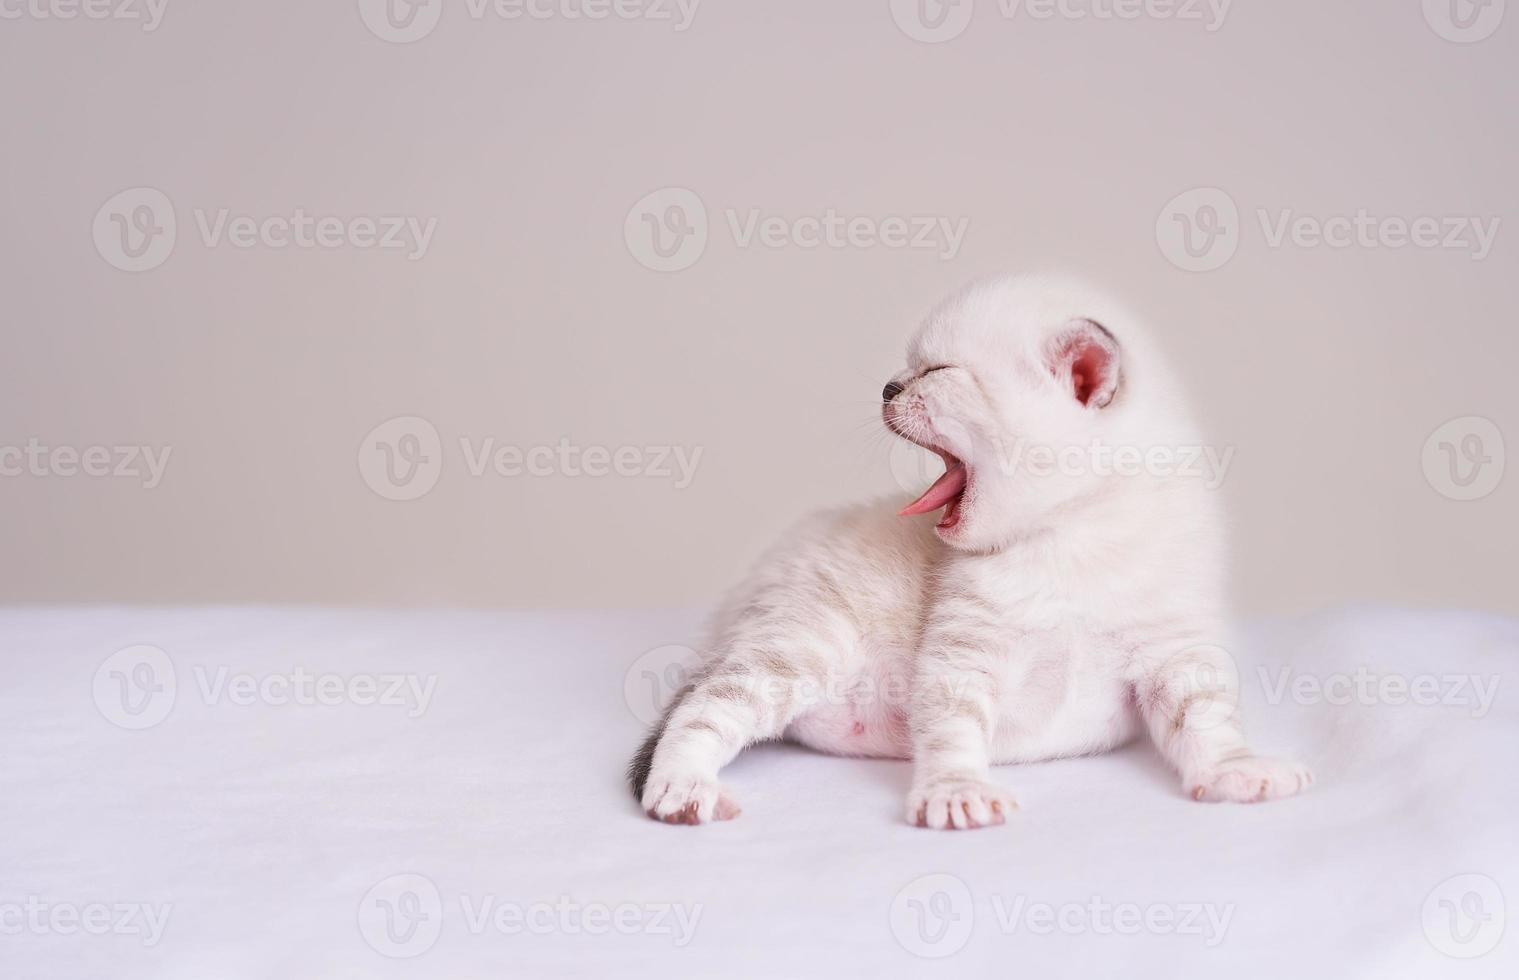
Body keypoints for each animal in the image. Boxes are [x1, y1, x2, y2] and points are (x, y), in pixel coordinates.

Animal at [622, 273, 1312, 826]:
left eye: (938, 373)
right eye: (908, 372)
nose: (887, 387)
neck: (1068, 539)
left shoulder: (1177, 646)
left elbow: (1207, 719)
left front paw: (1236, 771)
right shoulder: (963, 651)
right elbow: (953, 729)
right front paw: (956, 792)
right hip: (798, 643)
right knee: (701, 712)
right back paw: (682, 789)